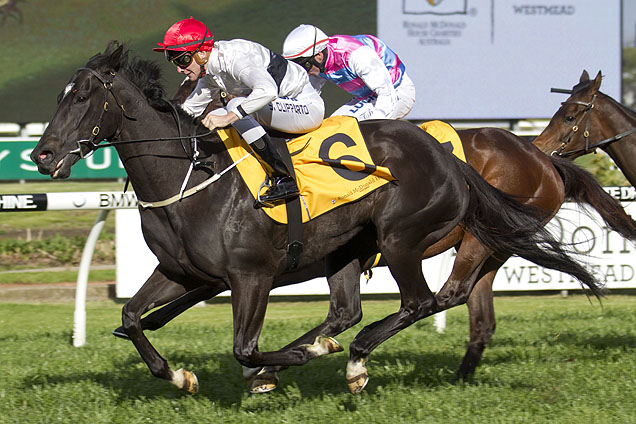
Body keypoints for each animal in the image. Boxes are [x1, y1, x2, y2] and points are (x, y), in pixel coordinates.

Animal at [28, 43, 596, 394]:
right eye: (57, 96)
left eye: (83, 97)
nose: (41, 154)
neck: (188, 180)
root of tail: (447, 155)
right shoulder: (181, 272)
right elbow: (131, 317)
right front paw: (178, 375)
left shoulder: (250, 276)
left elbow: (244, 348)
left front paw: (277, 366)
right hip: (348, 250)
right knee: (348, 311)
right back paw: (327, 346)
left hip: (404, 239)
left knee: (423, 301)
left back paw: (352, 360)